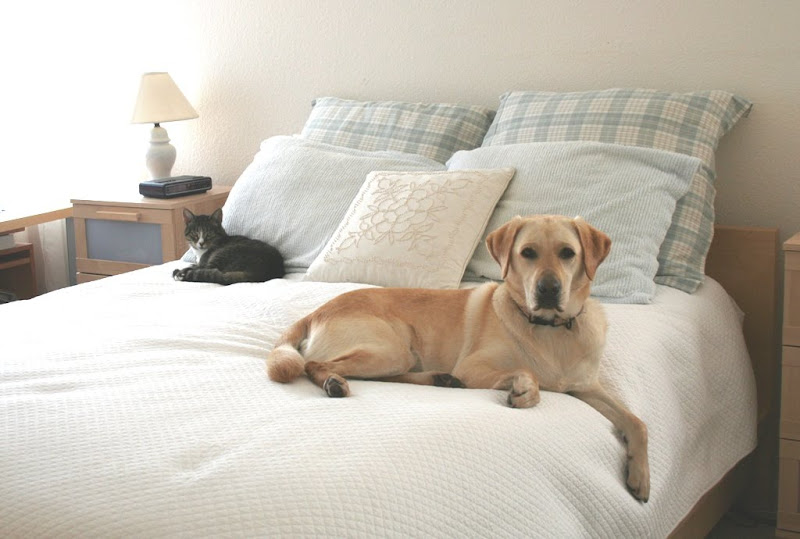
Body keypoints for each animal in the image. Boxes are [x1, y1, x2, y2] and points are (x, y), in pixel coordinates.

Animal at [268, 215, 648, 502]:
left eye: (568, 253)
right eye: (528, 253)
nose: (549, 290)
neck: (551, 329)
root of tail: (316, 311)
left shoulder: (586, 387)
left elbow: (636, 421)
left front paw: (641, 477)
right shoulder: (474, 367)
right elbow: (526, 373)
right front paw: (524, 389)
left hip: (400, 354)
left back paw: (439, 378)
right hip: (393, 348)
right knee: (314, 365)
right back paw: (335, 383)